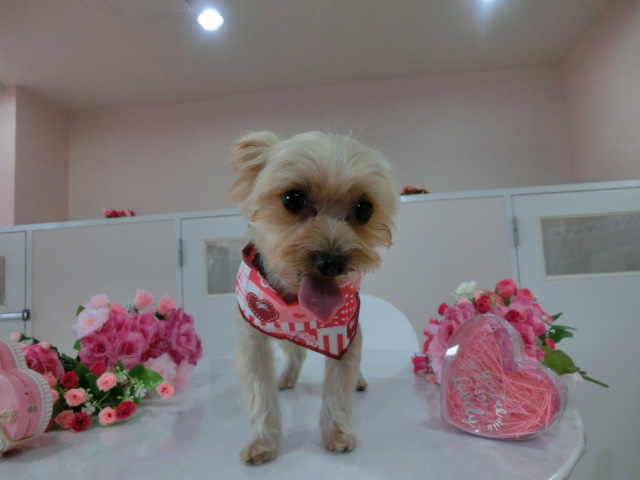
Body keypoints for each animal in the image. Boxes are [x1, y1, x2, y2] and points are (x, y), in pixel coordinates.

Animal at [227, 131, 398, 464]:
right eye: (293, 199)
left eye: (364, 209)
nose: (332, 262)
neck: (297, 303)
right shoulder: (252, 339)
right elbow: (259, 392)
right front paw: (262, 442)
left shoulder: (345, 334)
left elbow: (339, 387)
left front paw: (337, 433)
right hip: (280, 334)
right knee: (296, 353)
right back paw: (287, 377)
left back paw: (358, 381)